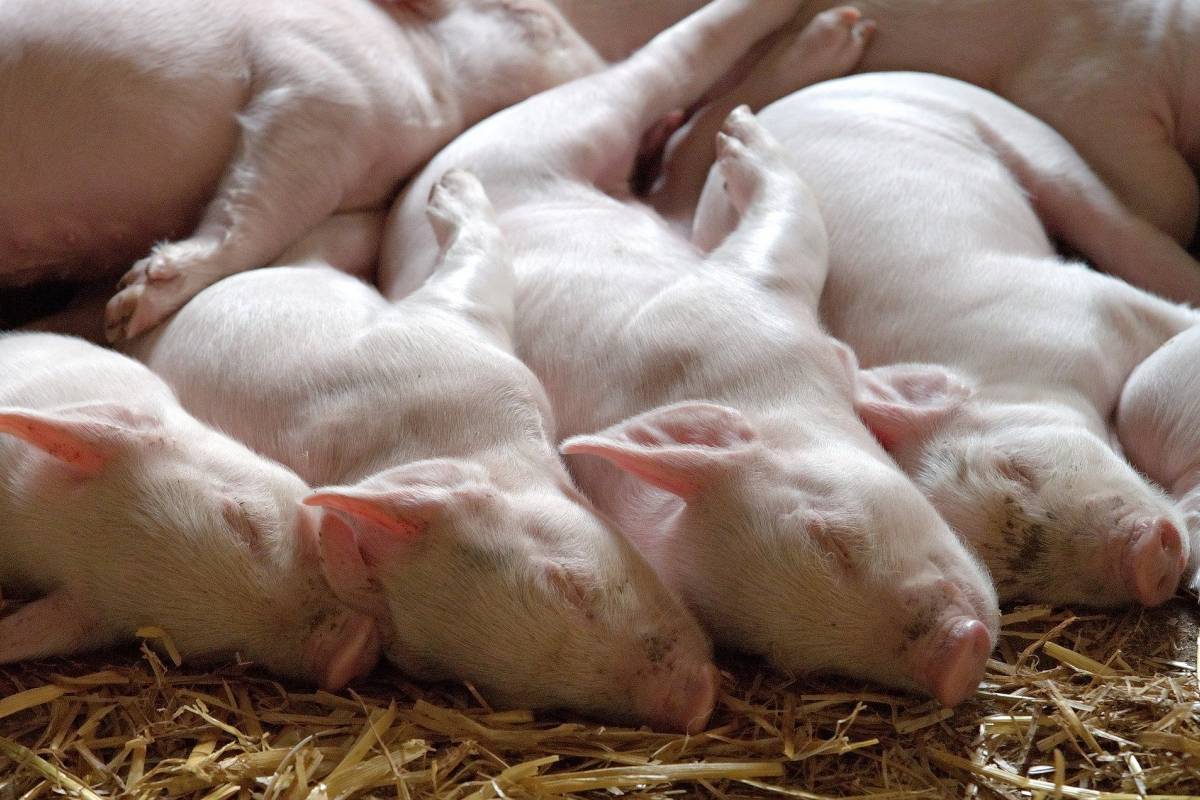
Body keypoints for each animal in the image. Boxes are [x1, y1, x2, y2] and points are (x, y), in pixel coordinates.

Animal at [0, 0, 602, 340]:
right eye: (534, 19)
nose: (605, 63)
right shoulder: (322, 88)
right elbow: (259, 203)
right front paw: (128, 310)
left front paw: (101, 316)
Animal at [124, 170, 719, 732]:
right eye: (495, 685)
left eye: (570, 584)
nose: (696, 707)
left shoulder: (451, 341)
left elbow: (477, 267)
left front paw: (452, 182)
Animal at [378, 2, 1001, 708]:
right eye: (779, 653)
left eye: (832, 537)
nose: (959, 659)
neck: (754, 385)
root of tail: (417, 190)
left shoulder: (737, 293)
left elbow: (792, 222)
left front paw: (750, 140)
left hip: (563, 131)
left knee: (660, 84)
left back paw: (811, 58)